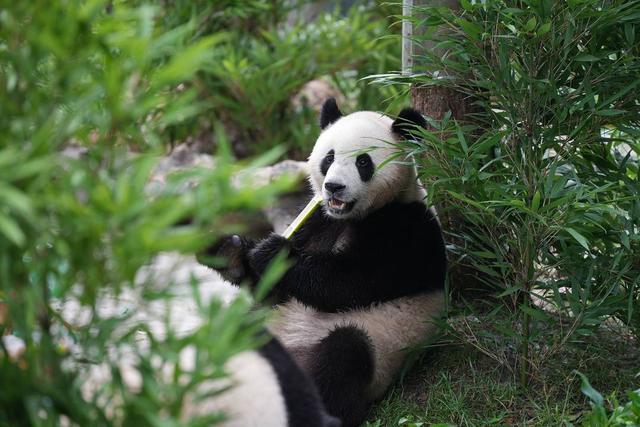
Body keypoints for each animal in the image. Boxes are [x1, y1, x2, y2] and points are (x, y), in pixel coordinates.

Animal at [208, 98, 448, 426]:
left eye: (363, 163)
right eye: (329, 158)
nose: (334, 186)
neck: (352, 216)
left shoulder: (407, 232)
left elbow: (347, 284)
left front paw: (274, 254)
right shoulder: (317, 219)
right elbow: (269, 289)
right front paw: (229, 250)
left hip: (377, 345)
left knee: (343, 356)